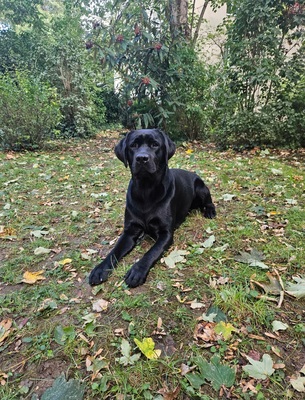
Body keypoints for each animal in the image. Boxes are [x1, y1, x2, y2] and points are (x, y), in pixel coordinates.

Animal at [89, 129, 215, 288]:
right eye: (133, 145)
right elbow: (114, 251)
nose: (142, 158)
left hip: (201, 188)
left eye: (155, 145)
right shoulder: (130, 231)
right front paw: (100, 269)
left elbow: (151, 252)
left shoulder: (165, 233)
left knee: (209, 202)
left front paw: (137, 271)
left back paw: (210, 211)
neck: (146, 190)